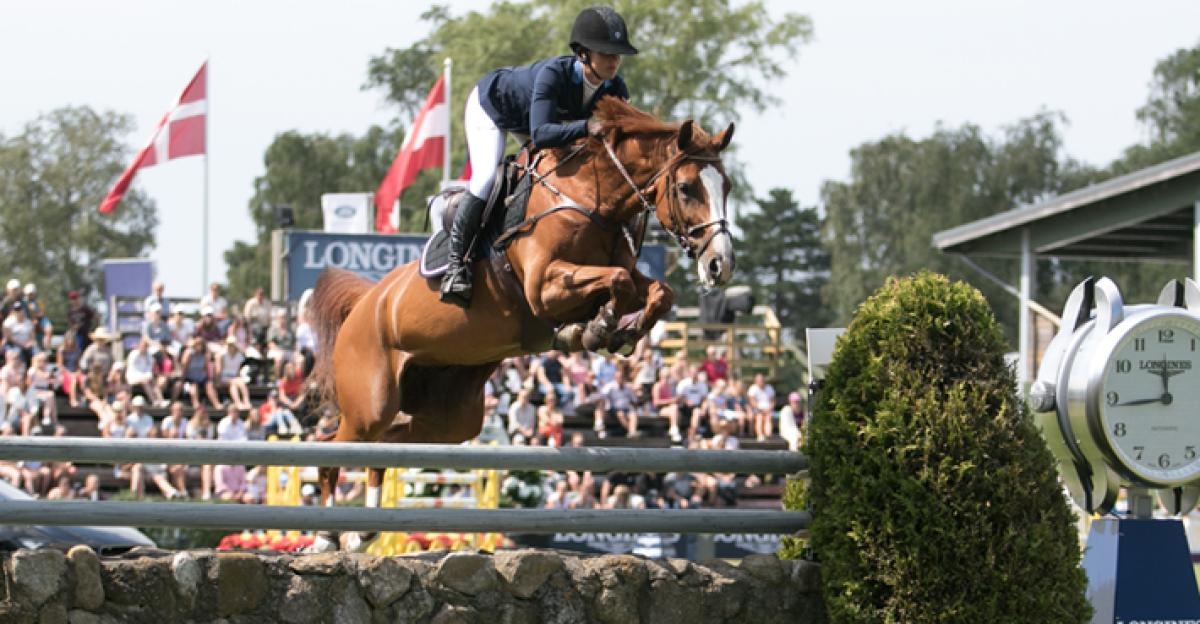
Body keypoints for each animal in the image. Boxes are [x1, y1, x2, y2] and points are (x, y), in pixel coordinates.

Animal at [304, 94, 734, 549]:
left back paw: (362, 530)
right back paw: (329, 535)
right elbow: (614, 281)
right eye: (687, 188)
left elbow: (656, 292)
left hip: (448, 417)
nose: (719, 265)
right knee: (334, 447)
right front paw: (596, 329)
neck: (589, 197)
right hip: (372, 400)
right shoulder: (544, 286)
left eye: (726, 187)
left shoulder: (619, 276)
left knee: (385, 447)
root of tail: (366, 301)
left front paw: (619, 333)